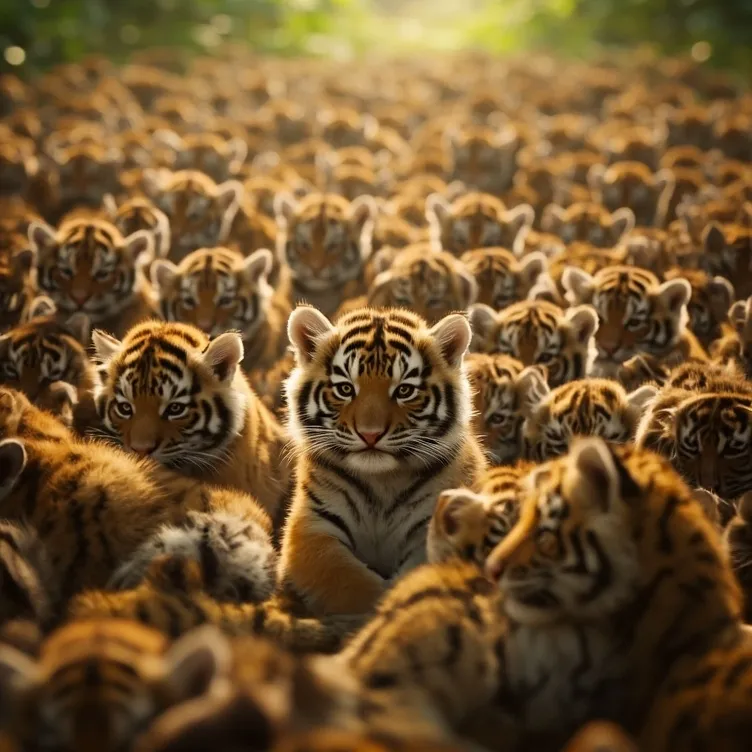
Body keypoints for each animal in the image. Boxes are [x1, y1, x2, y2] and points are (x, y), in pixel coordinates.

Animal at [278, 305, 486, 616]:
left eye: (404, 391)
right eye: (345, 389)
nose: (370, 434)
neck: (381, 482)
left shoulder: (430, 525)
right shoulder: (312, 528)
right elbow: (347, 579)